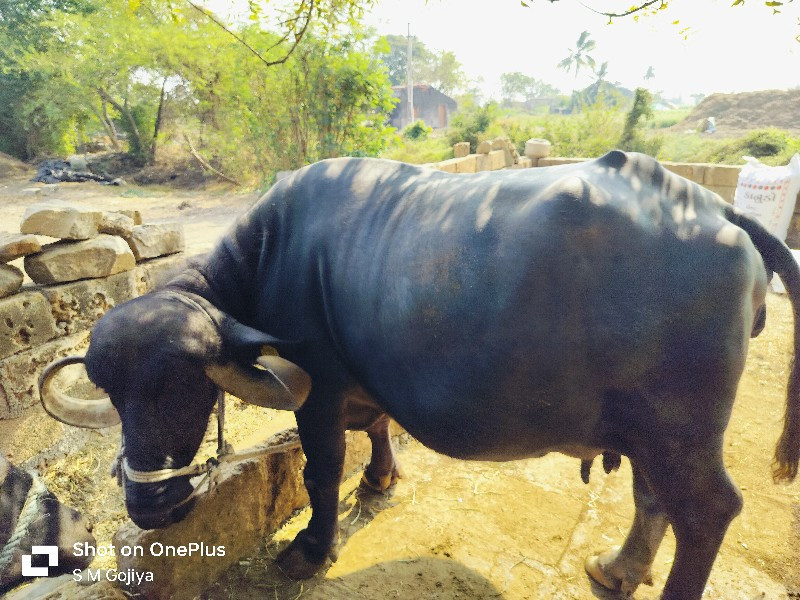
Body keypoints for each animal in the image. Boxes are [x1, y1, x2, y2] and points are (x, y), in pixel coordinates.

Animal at [40, 151, 796, 600]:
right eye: (111, 391)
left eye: (185, 384)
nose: (149, 506)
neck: (271, 254)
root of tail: (720, 210)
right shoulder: (362, 376)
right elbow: (376, 426)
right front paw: (380, 478)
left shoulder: (318, 392)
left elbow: (321, 470)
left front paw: (309, 549)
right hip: (650, 425)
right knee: (652, 497)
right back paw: (616, 570)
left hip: (680, 424)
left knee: (707, 510)